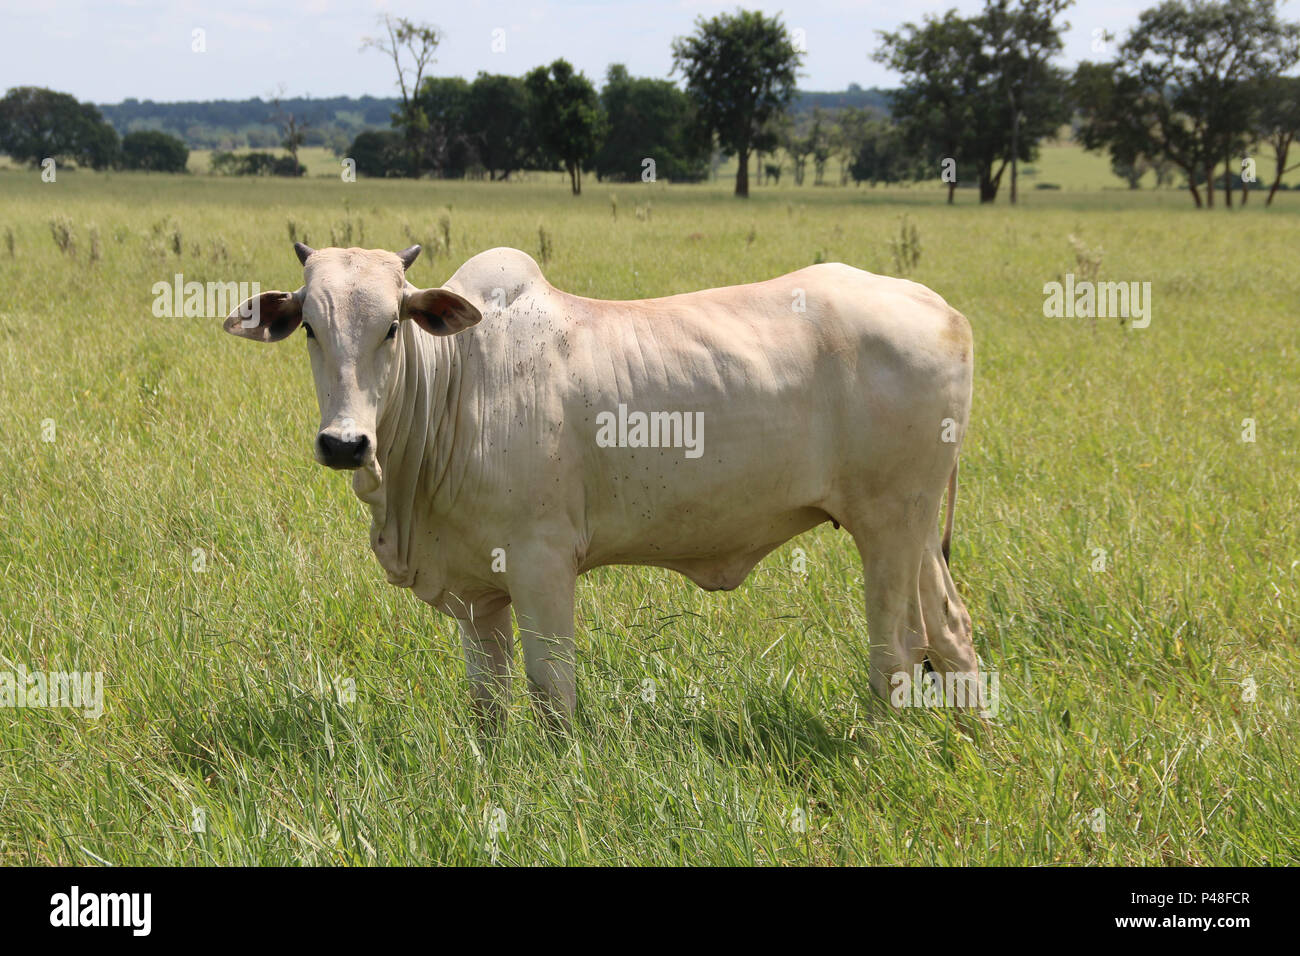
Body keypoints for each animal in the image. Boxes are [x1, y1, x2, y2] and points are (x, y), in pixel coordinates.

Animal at [226, 243, 977, 728]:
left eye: (390, 326)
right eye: (311, 327)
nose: (344, 443)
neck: (456, 380)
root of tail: (945, 312)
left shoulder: (542, 563)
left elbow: (552, 692)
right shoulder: (477, 593)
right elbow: (488, 704)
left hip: (888, 526)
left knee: (899, 648)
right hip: (912, 533)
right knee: (951, 633)